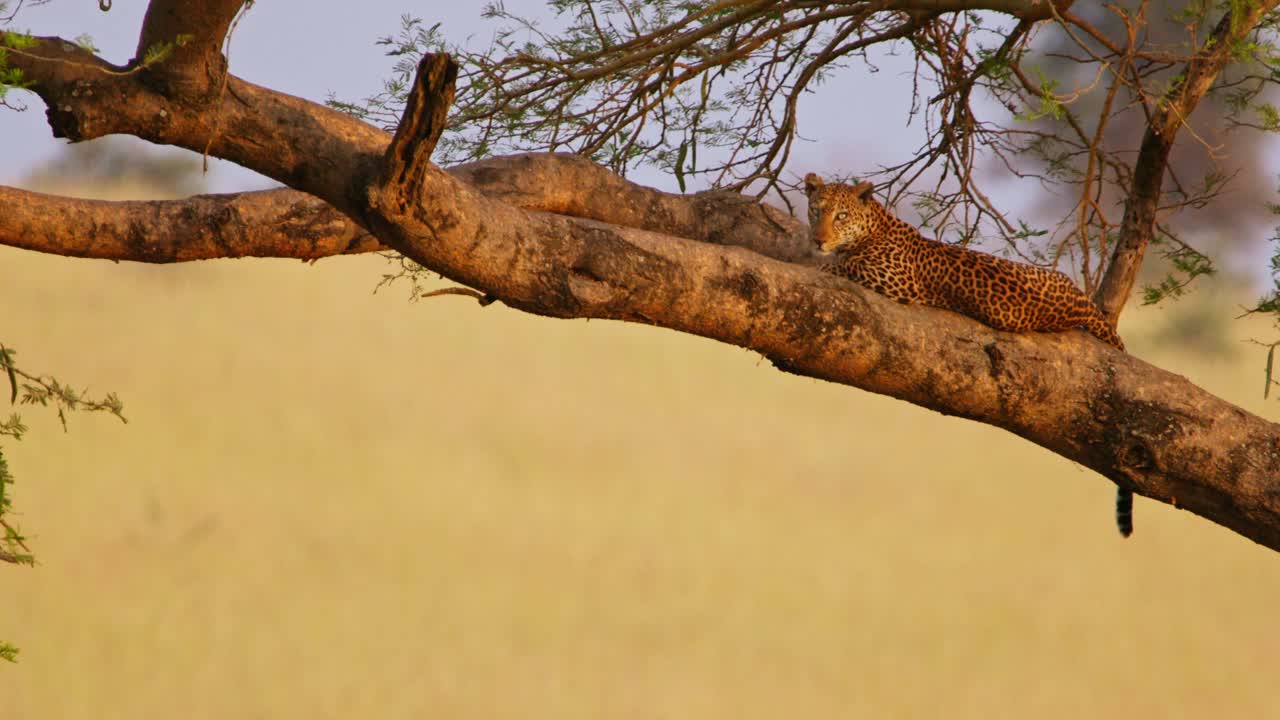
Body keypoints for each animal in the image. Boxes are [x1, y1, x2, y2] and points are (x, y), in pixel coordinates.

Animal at [804, 173, 1133, 538]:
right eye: (816, 211)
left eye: (840, 217)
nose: (818, 240)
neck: (874, 226)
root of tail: (1079, 296)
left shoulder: (892, 280)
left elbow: (842, 268)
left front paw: (819, 264)